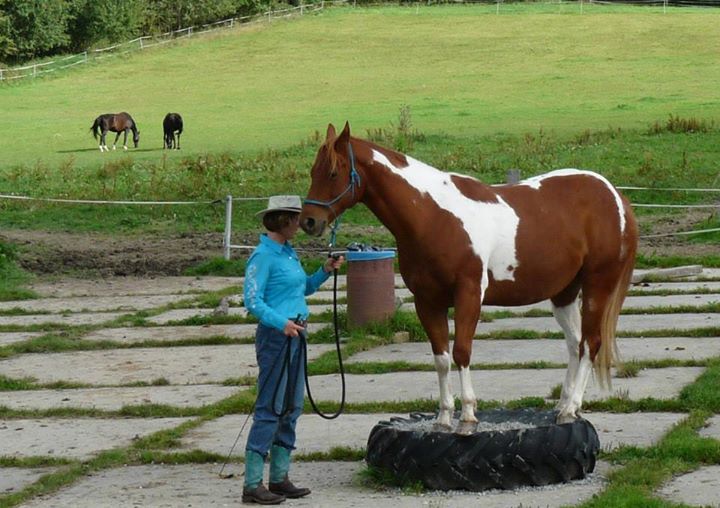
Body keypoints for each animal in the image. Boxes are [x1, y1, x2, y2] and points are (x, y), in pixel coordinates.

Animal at [300, 123, 640, 428]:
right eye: (313, 172)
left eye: (333, 173)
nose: (309, 222)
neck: (432, 215)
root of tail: (614, 195)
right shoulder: (427, 301)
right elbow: (441, 357)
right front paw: (443, 417)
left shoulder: (469, 294)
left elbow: (462, 352)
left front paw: (467, 414)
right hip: (565, 292)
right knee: (574, 343)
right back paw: (565, 406)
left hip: (598, 284)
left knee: (590, 343)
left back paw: (570, 409)